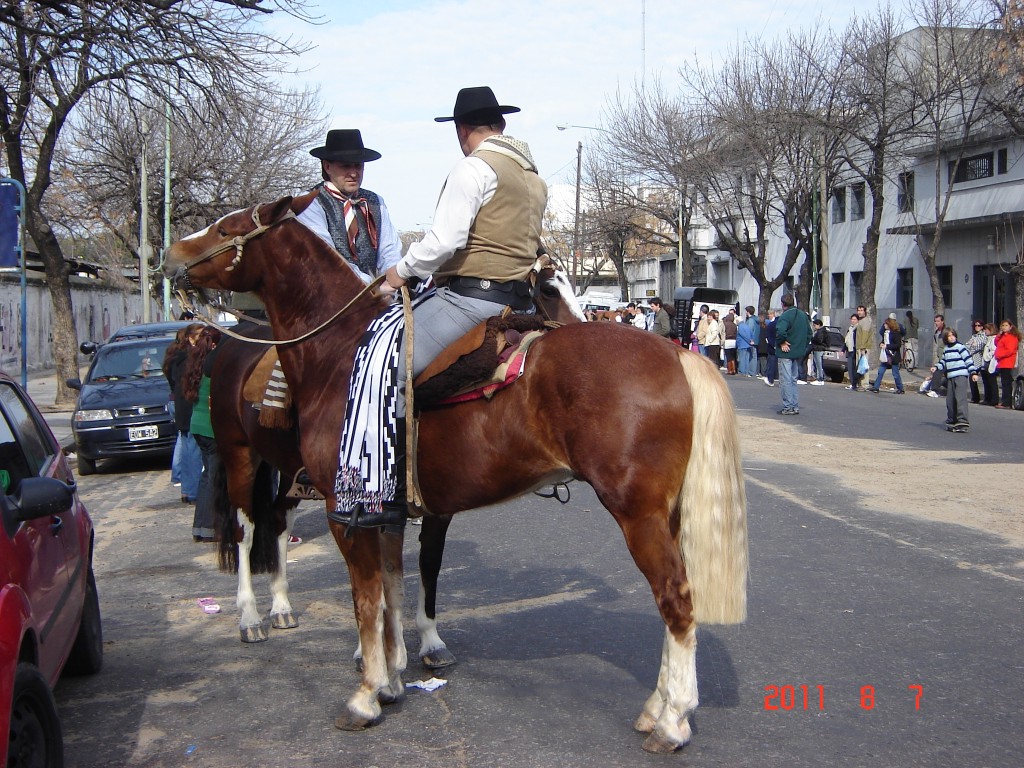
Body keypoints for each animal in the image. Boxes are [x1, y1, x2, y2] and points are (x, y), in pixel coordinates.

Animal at [163, 195, 749, 753]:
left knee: (677, 601)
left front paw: (367, 693)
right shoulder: (389, 509)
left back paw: (672, 721)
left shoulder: (347, 511)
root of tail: (677, 356)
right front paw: (393, 675)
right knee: (266, 528)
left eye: (227, 228)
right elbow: (394, 585)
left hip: (638, 515)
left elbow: (367, 597)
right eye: (549, 288)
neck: (338, 352)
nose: (170, 255)